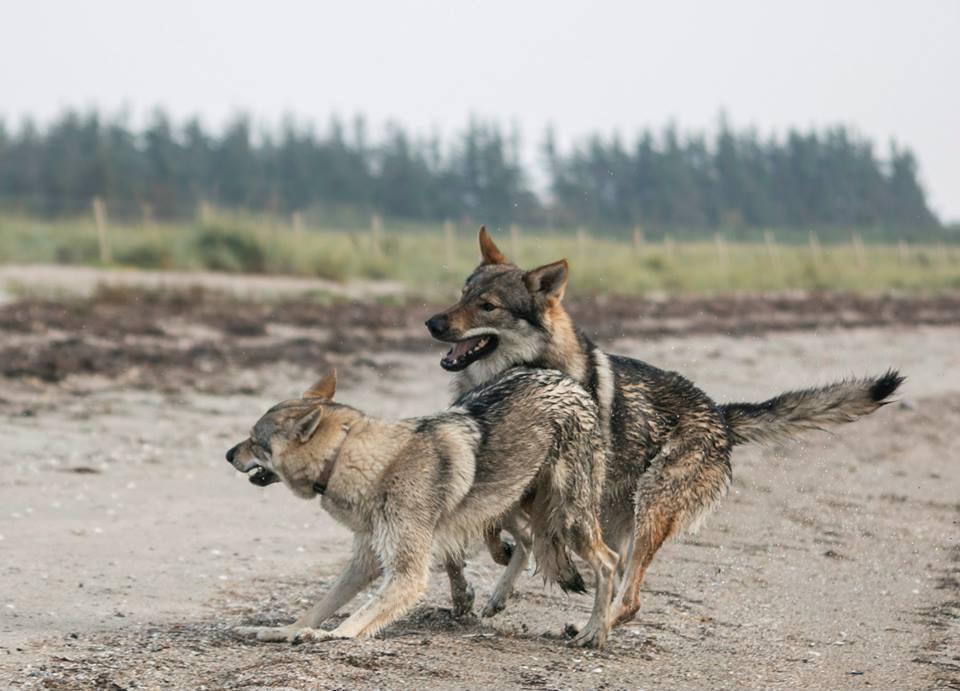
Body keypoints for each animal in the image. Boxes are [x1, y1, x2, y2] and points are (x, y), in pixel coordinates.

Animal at [424, 227, 904, 628]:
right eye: (462, 293)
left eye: (488, 306)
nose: (432, 323)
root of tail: (719, 414)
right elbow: (493, 537)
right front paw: (487, 584)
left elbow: (512, 535)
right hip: (617, 515)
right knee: (616, 574)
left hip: (649, 508)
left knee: (630, 593)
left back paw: (593, 627)